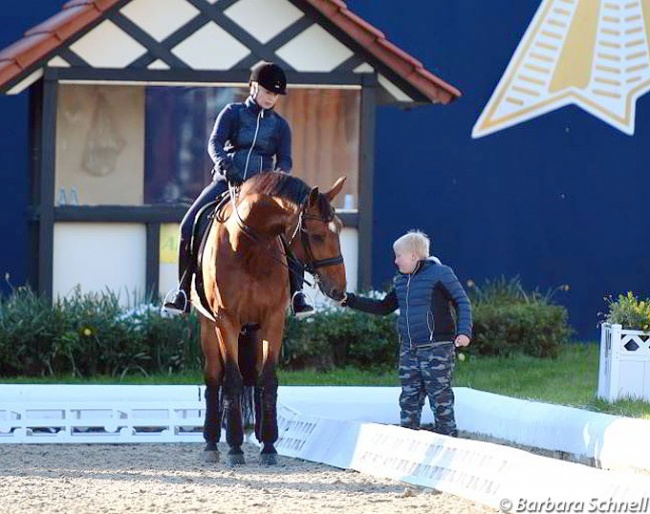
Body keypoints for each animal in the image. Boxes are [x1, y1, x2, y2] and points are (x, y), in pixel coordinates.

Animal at [191, 170, 346, 462]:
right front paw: (235, 446)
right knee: (214, 377)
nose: (339, 290)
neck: (249, 248)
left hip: (253, 329)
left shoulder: (274, 319)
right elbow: (232, 378)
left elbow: (268, 378)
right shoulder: (226, 320)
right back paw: (211, 443)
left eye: (340, 229)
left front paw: (270, 445)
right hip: (209, 326)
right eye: (317, 236)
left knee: (255, 376)